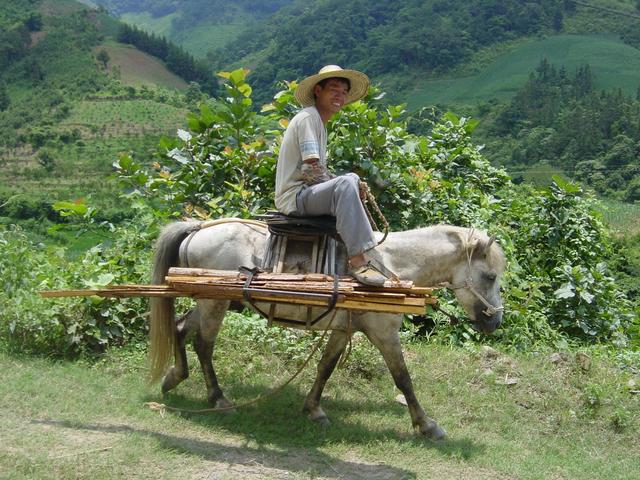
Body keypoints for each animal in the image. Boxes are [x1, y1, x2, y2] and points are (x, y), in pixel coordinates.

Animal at [148, 219, 508, 440]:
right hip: (215, 303)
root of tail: (198, 228)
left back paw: (174, 377)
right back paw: (218, 397)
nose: (495, 321)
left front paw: (314, 409)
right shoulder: (384, 333)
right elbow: (403, 378)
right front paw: (426, 425)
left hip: (207, 301)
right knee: (204, 344)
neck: (391, 268)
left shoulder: (344, 330)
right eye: (490, 276)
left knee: (181, 328)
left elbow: (325, 366)